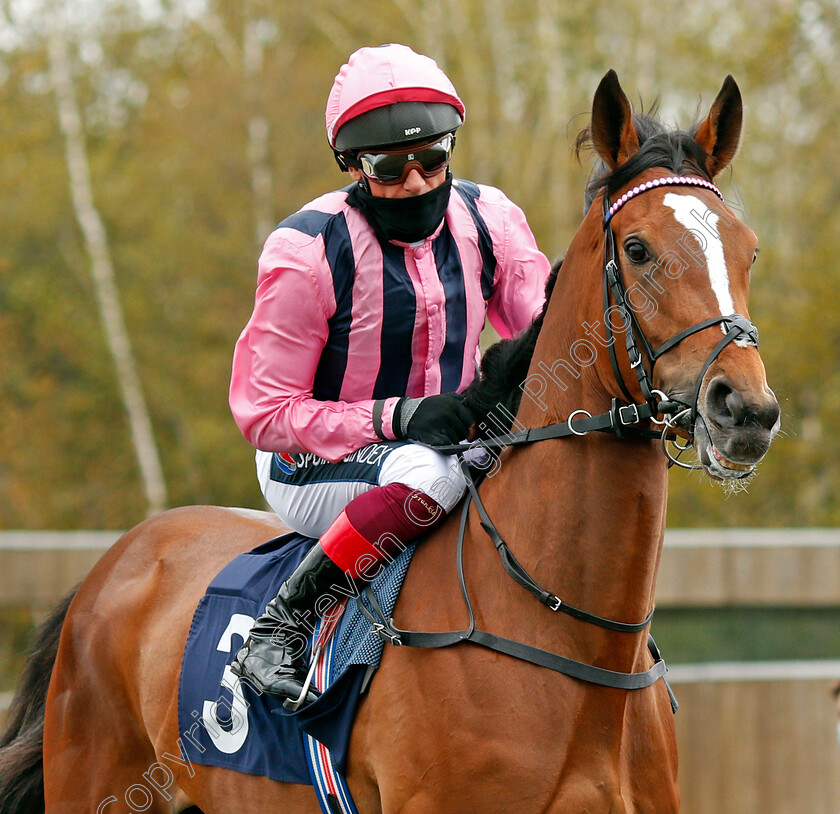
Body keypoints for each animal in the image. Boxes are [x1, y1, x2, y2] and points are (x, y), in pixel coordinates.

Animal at [0, 70, 776, 814]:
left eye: (749, 249)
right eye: (639, 250)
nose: (745, 408)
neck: (567, 636)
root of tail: (113, 565)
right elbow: (274, 400)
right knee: (415, 478)